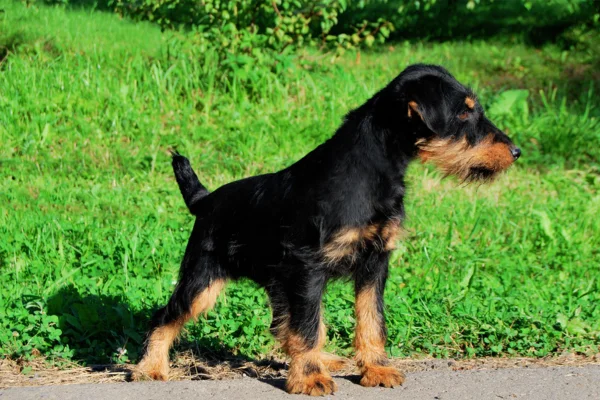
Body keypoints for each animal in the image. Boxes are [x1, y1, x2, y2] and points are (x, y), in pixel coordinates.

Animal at [132, 64, 520, 396]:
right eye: (464, 113)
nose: (516, 151)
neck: (372, 171)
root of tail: (206, 199)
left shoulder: (374, 265)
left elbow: (370, 320)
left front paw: (375, 369)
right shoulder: (308, 268)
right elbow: (307, 327)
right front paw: (308, 378)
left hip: (276, 283)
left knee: (284, 325)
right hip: (202, 279)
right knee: (166, 316)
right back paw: (150, 368)